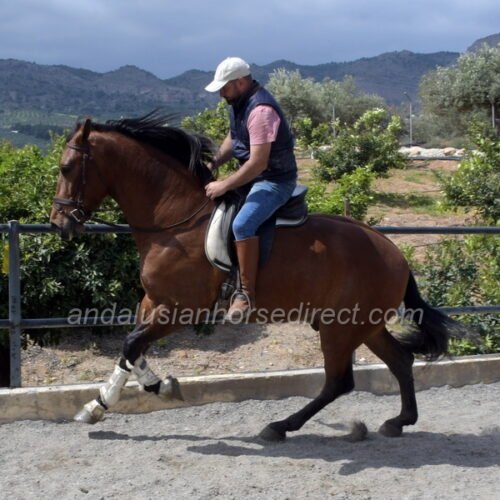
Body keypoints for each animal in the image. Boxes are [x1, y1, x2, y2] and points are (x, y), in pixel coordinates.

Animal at [50, 112, 463, 441]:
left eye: (66, 168)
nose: (59, 223)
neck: (174, 219)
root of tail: (395, 252)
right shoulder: (152, 301)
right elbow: (130, 350)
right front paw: (111, 400)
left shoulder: (181, 308)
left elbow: (131, 344)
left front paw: (140, 391)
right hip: (365, 325)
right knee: (400, 361)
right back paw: (399, 421)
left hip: (339, 327)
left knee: (339, 381)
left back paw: (280, 427)